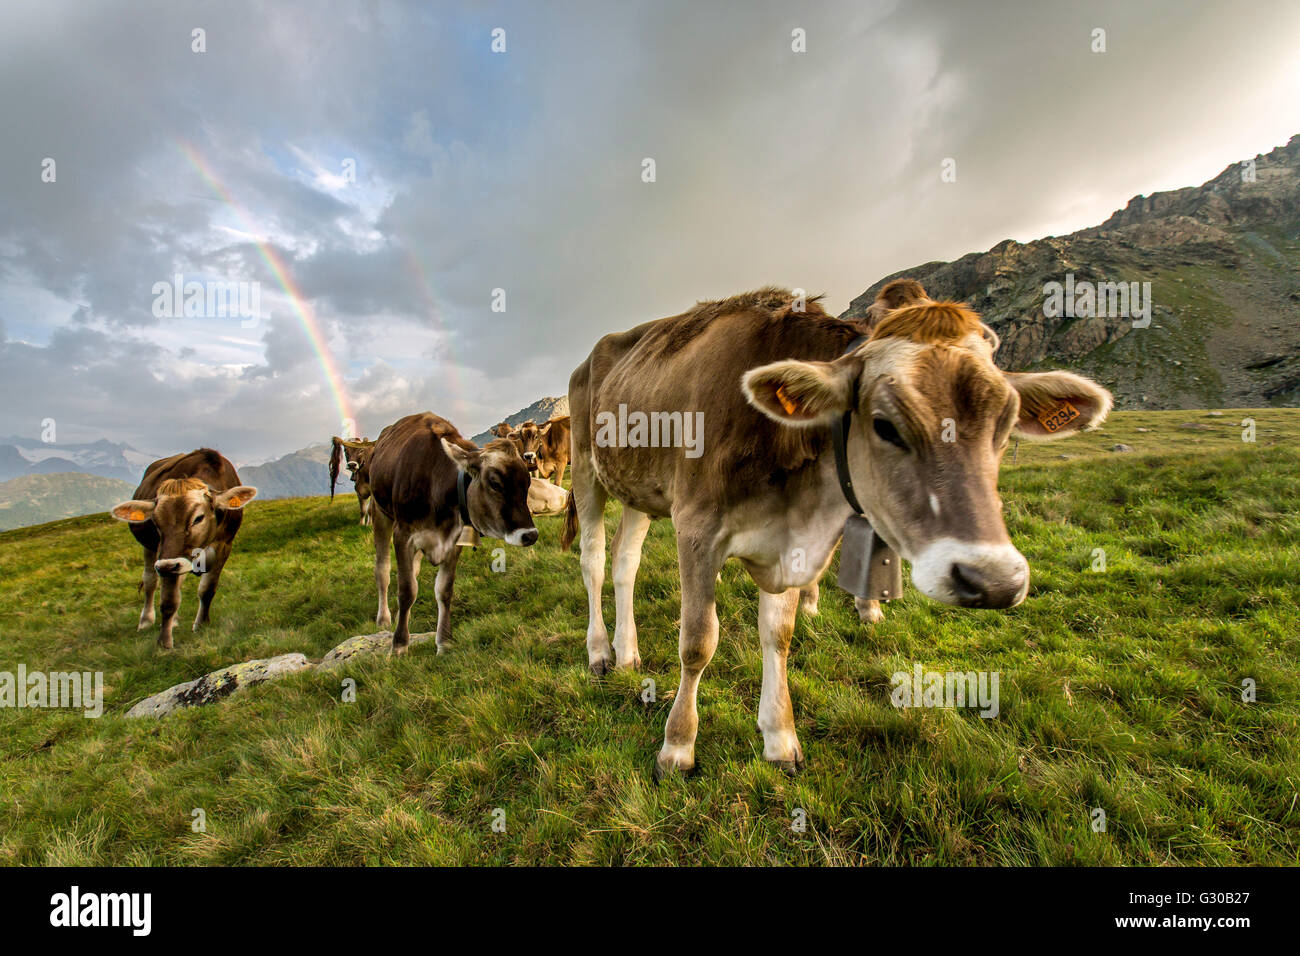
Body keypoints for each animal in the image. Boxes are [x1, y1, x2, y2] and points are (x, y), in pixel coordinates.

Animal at [110, 449, 258, 649]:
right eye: (156, 521)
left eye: (198, 518)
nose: (166, 566)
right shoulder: (165, 554)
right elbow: (168, 600)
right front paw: (164, 642)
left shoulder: (224, 545)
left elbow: (207, 589)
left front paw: (201, 625)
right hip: (151, 549)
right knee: (150, 581)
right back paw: (146, 621)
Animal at [368, 412, 539, 654]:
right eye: (495, 483)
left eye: (527, 483)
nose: (530, 535)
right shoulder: (403, 536)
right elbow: (407, 590)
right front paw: (399, 644)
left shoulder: (454, 540)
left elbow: (444, 590)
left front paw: (444, 642)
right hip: (380, 513)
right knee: (382, 570)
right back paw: (383, 618)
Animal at [562, 280, 1111, 778]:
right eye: (885, 424)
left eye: (1005, 423)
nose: (993, 579)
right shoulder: (696, 527)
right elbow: (697, 641)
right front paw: (677, 748)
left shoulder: (791, 542)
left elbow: (778, 635)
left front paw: (780, 737)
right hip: (587, 468)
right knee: (594, 561)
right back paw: (600, 653)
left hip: (640, 490)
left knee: (626, 563)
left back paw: (628, 653)